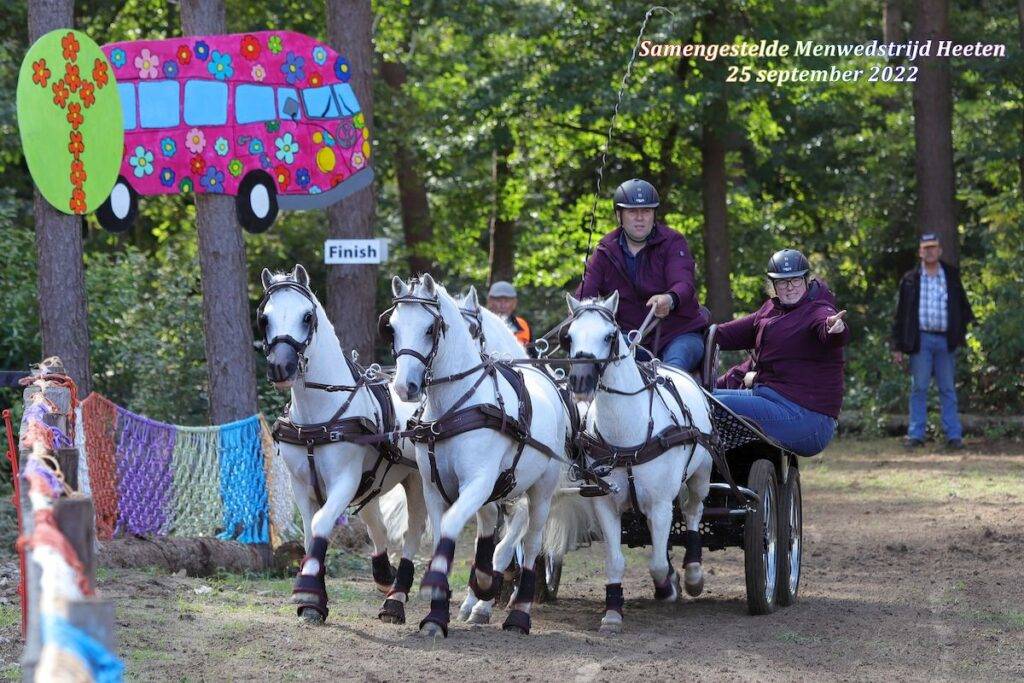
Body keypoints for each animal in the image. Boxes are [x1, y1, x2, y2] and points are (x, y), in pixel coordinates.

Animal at [258, 265, 427, 625]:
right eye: (264, 318)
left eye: (307, 316)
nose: (280, 366)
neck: (318, 416)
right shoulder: (301, 485)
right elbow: (310, 534)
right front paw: (313, 601)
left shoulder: (344, 481)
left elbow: (322, 524)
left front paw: (308, 591)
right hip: (373, 484)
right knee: (376, 525)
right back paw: (384, 575)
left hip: (418, 481)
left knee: (413, 532)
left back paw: (395, 599)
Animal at [383, 274, 568, 637]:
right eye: (393, 328)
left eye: (430, 328)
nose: (404, 387)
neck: (454, 407)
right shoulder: (433, 488)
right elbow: (443, 534)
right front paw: (437, 612)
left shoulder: (478, 482)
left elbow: (455, 526)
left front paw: (448, 588)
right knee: (492, 523)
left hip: (541, 490)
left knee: (531, 542)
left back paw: (518, 613)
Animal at [561, 291, 714, 633]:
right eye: (570, 337)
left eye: (608, 336)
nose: (580, 380)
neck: (627, 434)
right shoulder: (604, 502)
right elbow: (616, 560)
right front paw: (613, 611)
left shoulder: (659, 503)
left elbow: (656, 563)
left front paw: (668, 586)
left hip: (702, 473)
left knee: (693, 511)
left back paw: (693, 573)